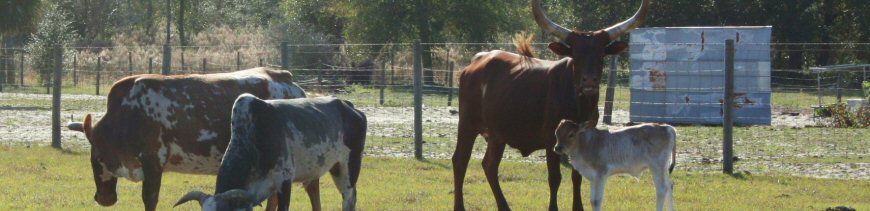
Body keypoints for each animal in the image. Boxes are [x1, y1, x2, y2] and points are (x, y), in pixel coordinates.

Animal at [68, 67, 306, 211]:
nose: (103, 198)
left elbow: (149, 199)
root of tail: (286, 78)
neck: (127, 112)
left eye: (96, 156)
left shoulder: (153, 161)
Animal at [454, 0, 652, 210]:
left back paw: (504, 206)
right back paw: (459, 205)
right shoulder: (551, 139)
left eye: (601, 54)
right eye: (576, 54)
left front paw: (578, 207)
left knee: (490, 165)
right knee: (460, 161)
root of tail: (475, 63)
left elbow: (577, 176)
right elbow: (554, 178)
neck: (578, 103)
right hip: (467, 123)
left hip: (497, 134)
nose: (589, 81)